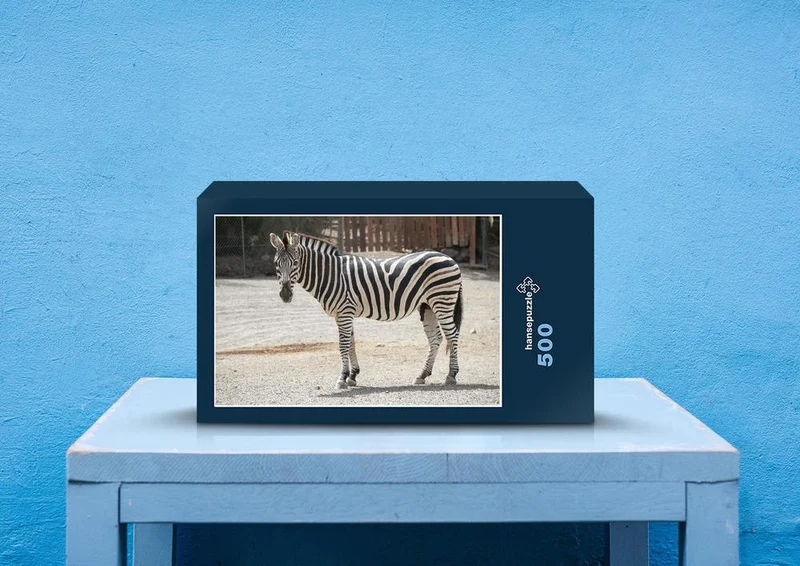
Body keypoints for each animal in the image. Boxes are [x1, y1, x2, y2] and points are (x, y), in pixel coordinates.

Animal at [269, 230, 463, 390]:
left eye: (295, 263)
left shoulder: (345, 312)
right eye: (276, 263)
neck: (331, 275)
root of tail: (450, 258)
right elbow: (351, 343)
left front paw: (342, 378)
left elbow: (343, 345)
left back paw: (451, 375)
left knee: (452, 335)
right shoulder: (343, 314)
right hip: (427, 306)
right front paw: (352, 376)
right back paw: (422, 375)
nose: (285, 295)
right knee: (436, 338)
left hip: (442, 301)